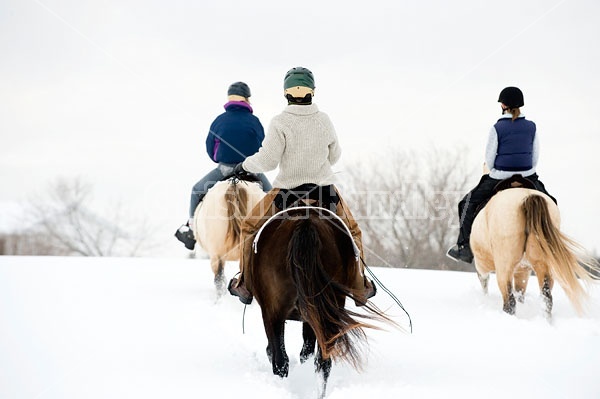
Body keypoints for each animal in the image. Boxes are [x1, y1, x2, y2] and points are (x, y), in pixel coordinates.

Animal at [245, 205, 392, 398]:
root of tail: (305, 224)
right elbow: (307, 353)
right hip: (324, 313)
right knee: (323, 361)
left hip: (274, 312)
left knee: (281, 361)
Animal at [472, 188, 596, 318]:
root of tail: (528, 197)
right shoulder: (523, 271)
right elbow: (520, 293)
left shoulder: (482, 266)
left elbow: (484, 283)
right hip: (542, 265)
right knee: (546, 298)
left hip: (504, 267)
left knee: (509, 302)